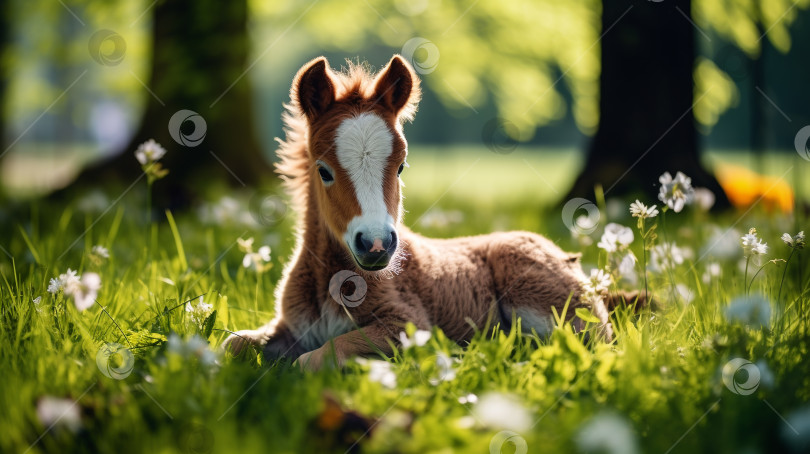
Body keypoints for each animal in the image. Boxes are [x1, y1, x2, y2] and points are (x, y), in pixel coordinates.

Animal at [221, 55, 612, 370]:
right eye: (324, 171)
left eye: (401, 167)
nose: (376, 245)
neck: (333, 282)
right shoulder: (289, 325)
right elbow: (232, 345)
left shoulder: (410, 326)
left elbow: (314, 359)